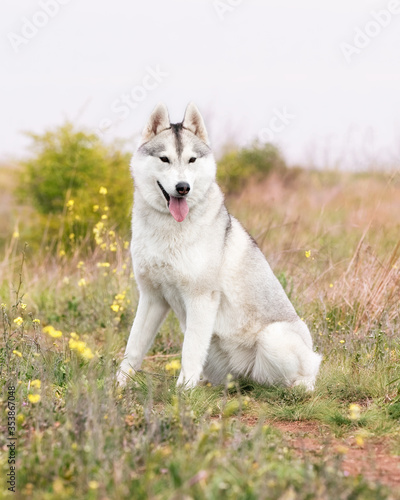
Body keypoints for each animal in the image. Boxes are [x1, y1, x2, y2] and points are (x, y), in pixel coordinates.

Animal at [116, 102, 322, 390]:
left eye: (192, 160)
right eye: (164, 159)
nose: (183, 187)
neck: (169, 229)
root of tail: (245, 376)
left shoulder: (201, 298)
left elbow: (189, 351)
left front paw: (182, 392)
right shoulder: (152, 298)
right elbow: (133, 348)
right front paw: (117, 386)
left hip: (274, 337)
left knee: (304, 374)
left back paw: (299, 388)